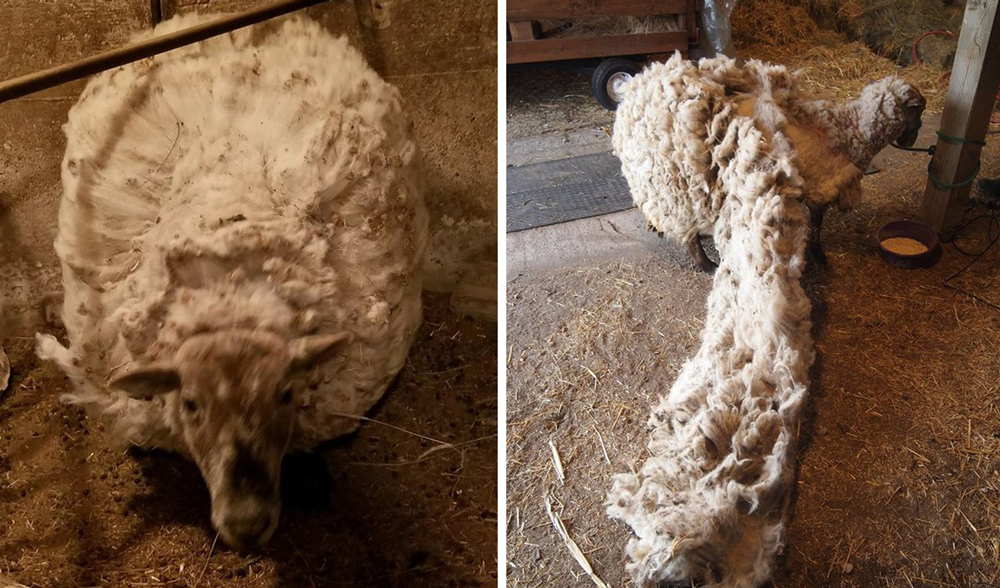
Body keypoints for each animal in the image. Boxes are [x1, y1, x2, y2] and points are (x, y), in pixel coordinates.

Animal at [613, 53, 925, 272]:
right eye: (918, 110)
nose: (914, 138)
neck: (848, 130)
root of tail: (634, 94)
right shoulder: (821, 189)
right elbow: (817, 227)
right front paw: (820, 256)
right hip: (677, 182)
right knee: (686, 227)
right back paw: (704, 263)